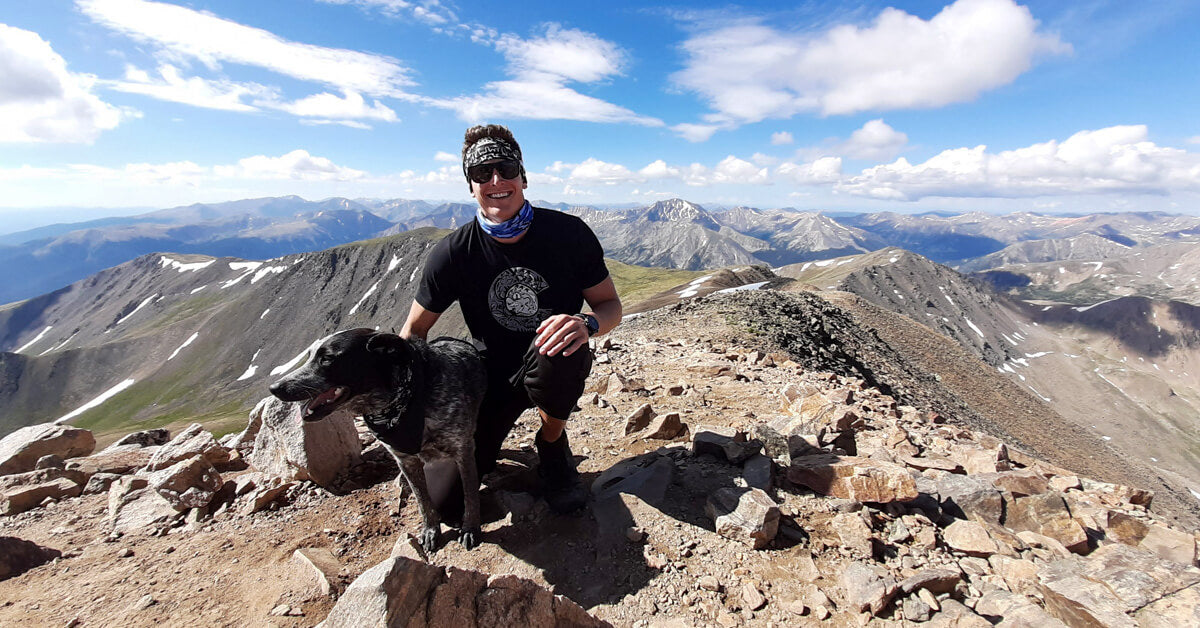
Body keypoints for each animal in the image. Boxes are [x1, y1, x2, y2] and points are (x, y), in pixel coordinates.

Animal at [268, 328, 486, 552]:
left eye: (327, 359)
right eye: (309, 356)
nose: (274, 388)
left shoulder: (463, 450)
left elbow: (469, 494)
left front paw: (470, 528)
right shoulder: (405, 461)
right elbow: (423, 500)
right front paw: (430, 530)